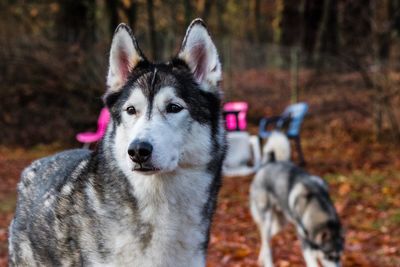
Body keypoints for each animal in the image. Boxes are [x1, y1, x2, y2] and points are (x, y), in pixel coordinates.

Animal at [250, 132, 344, 267]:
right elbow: (312, 262)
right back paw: (267, 261)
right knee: (267, 244)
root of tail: (268, 164)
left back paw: (261, 257)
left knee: (265, 239)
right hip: (266, 219)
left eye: (339, 257)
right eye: (329, 256)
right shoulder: (305, 243)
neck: (314, 202)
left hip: (280, 222)